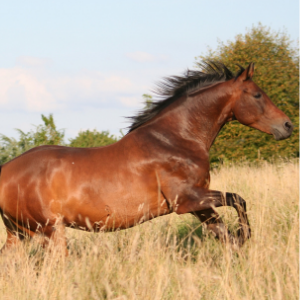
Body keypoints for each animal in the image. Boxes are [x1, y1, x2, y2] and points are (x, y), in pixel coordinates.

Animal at [0, 61, 292, 253]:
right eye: (257, 95)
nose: (287, 125)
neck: (175, 139)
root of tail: (6, 171)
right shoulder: (187, 200)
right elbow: (238, 200)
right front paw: (245, 235)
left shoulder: (199, 205)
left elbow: (224, 234)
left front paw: (238, 246)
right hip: (50, 231)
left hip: (20, 234)